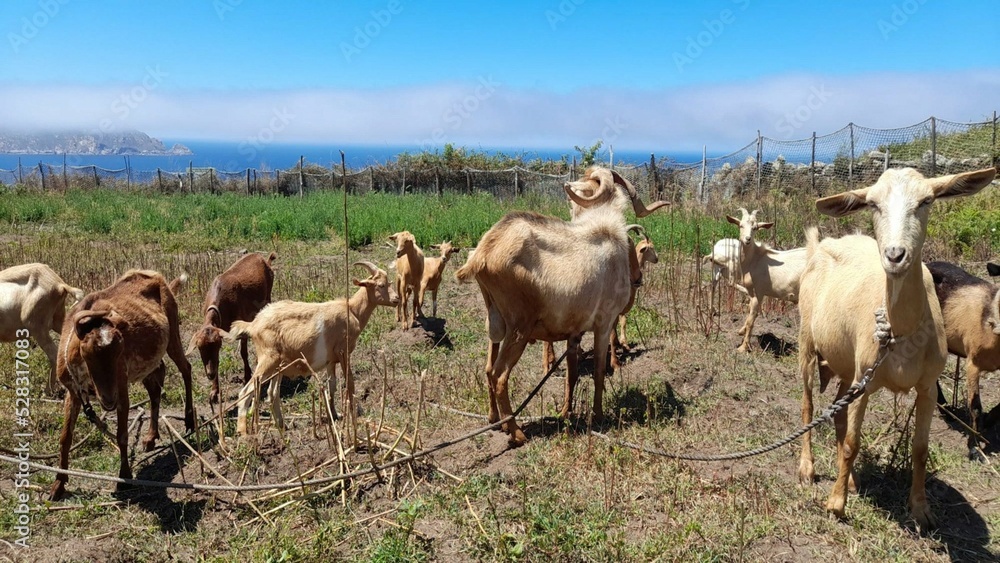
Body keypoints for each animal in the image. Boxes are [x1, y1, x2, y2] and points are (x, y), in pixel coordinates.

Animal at [49, 270, 195, 500]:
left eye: (119, 351)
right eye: (87, 352)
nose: (108, 400)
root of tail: (157, 276)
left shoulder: (122, 387)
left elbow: (122, 436)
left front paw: (124, 477)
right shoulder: (73, 392)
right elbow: (65, 438)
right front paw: (58, 484)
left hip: (173, 332)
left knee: (186, 369)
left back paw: (189, 419)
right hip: (147, 363)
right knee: (155, 387)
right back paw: (150, 437)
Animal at [187, 252, 276, 404]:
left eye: (217, 345)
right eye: (199, 347)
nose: (210, 374)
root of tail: (265, 259)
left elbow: (243, 353)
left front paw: (247, 377)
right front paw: (214, 392)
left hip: (267, 298)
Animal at [227, 261, 398, 436]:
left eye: (389, 283)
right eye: (381, 285)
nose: (396, 299)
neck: (352, 310)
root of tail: (253, 325)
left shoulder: (331, 360)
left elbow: (332, 386)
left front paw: (335, 415)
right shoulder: (343, 352)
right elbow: (350, 383)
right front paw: (354, 415)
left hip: (278, 365)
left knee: (272, 393)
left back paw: (282, 425)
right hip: (268, 359)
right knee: (246, 391)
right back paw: (243, 431)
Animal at [456, 167, 668, 445]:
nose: (638, 279)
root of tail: (483, 253)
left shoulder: (574, 332)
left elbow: (572, 373)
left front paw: (567, 413)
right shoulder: (604, 323)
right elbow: (599, 369)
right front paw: (598, 416)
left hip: (495, 323)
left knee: (489, 368)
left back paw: (495, 421)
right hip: (519, 328)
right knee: (499, 375)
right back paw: (516, 432)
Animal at [726, 208, 808, 352]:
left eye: (755, 228)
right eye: (741, 225)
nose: (747, 239)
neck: (755, 259)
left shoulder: (758, 292)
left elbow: (751, 320)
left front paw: (743, 347)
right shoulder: (751, 292)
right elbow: (749, 312)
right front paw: (741, 331)